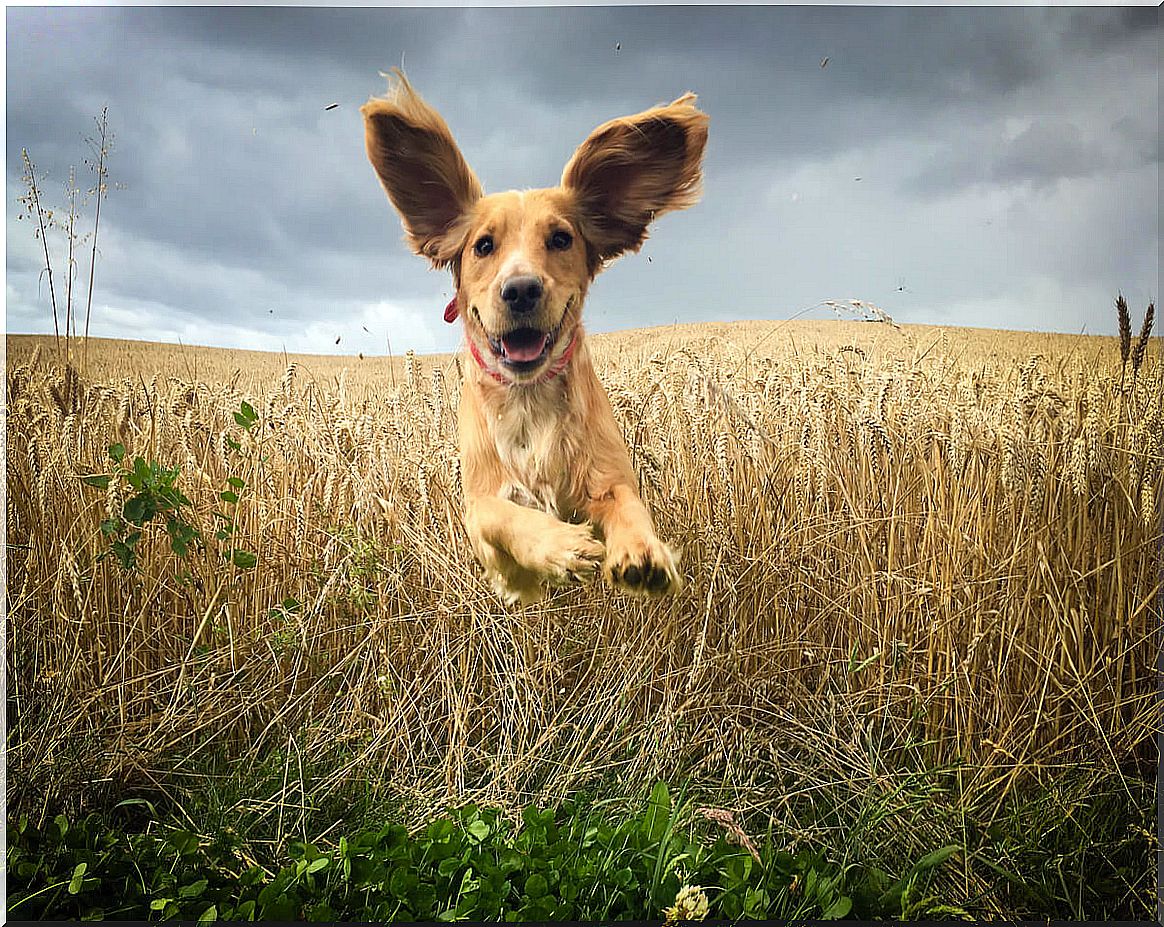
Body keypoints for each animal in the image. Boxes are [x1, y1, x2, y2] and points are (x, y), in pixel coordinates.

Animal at [360, 74, 707, 610]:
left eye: (561, 239)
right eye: (483, 245)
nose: (521, 290)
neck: (528, 400)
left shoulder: (609, 476)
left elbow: (628, 507)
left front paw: (642, 554)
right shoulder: (479, 509)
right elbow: (505, 517)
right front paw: (560, 547)